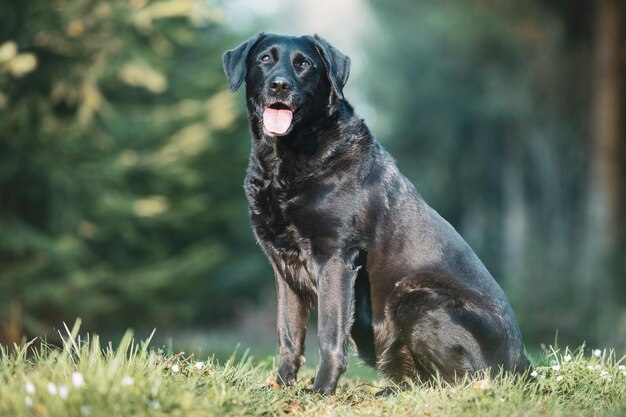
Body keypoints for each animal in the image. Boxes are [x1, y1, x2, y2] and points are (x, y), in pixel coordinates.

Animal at [222, 32, 528, 394]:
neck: (286, 161)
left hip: (417, 299)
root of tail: (524, 364)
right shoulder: (284, 269)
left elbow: (329, 336)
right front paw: (282, 388)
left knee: (463, 380)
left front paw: (321, 392)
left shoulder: (336, 258)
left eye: (304, 64)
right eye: (265, 59)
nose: (280, 85)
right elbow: (288, 336)